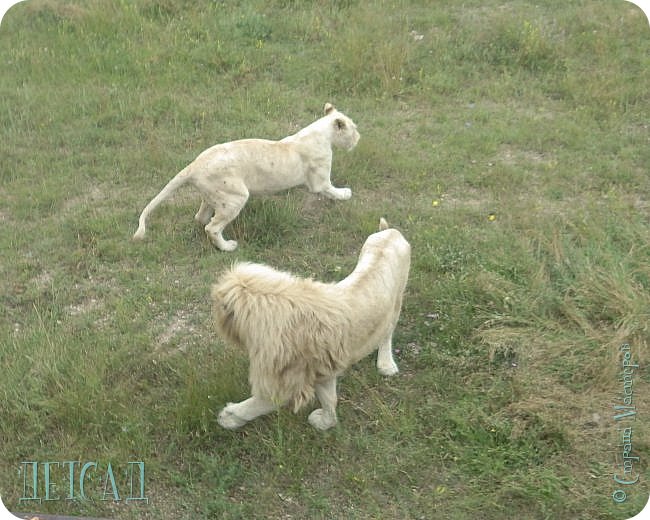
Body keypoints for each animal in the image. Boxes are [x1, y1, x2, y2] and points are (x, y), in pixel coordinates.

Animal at [129, 103, 356, 250]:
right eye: (353, 129)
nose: (358, 137)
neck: (322, 133)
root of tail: (194, 165)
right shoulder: (320, 181)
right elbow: (332, 190)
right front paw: (346, 194)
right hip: (235, 197)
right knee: (212, 227)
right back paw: (228, 246)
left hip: (214, 195)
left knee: (201, 218)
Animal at [210, 219, 408, 430]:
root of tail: (390, 232)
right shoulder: (322, 367)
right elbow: (330, 400)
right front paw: (325, 422)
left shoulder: (282, 380)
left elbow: (253, 405)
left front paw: (227, 416)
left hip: (397, 301)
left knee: (387, 333)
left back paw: (386, 364)